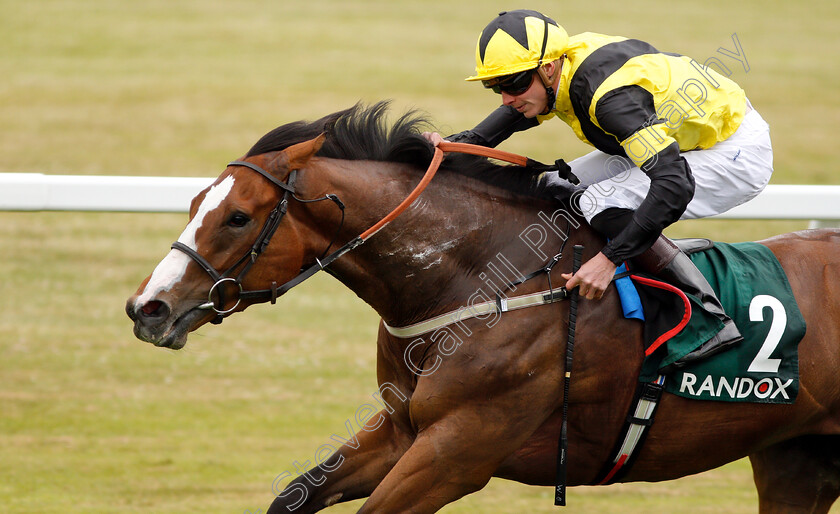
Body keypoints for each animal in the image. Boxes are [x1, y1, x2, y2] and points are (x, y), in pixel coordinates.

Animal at [126, 102, 840, 510]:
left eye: (239, 217)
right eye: (194, 203)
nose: (148, 308)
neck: (481, 284)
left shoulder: (459, 452)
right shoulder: (403, 429)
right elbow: (294, 496)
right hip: (796, 458)